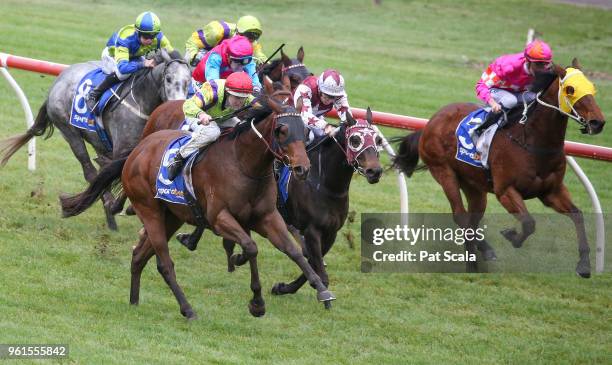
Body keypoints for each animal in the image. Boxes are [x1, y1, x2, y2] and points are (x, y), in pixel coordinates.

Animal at [0, 49, 191, 229]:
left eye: (188, 81)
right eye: (168, 78)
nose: (179, 107)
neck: (141, 101)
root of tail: (59, 80)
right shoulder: (122, 149)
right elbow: (119, 175)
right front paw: (116, 206)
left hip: (99, 141)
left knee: (100, 167)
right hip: (69, 131)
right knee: (89, 170)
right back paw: (105, 203)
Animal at [61, 94, 334, 318]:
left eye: (305, 130)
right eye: (281, 130)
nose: (302, 168)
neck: (244, 165)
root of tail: (136, 152)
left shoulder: (266, 216)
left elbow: (293, 250)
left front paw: (321, 290)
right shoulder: (220, 218)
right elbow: (251, 247)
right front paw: (257, 303)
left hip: (171, 216)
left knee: (140, 256)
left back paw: (134, 300)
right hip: (149, 211)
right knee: (164, 264)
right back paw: (187, 309)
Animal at [392, 59, 604, 276]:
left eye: (592, 87)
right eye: (571, 89)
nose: (598, 122)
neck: (532, 142)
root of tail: (430, 122)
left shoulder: (551, 192)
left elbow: (577, 215)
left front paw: (584, 264)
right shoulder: (505, 191)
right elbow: (529, 223)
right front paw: (512, 236)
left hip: (474, 186)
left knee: (472, 220)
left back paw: (476, 259)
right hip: (444, 172)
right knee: (460, 216)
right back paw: (481, 256)